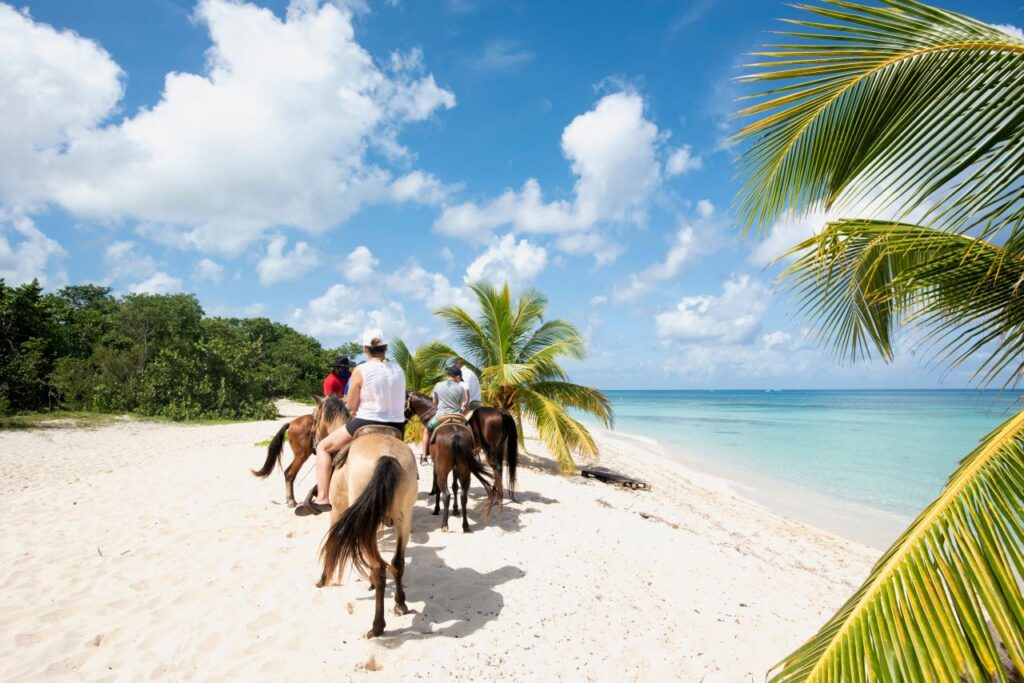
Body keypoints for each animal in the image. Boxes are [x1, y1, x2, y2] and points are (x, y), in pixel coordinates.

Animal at [309, 395, 417, 643]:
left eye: (315, 416)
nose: (315, 444)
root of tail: (387, 456)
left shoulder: (337, 512)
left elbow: (331, 545)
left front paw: (324, 577)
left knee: (379, 567)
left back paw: (377, 626)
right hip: (403, 520)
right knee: (397, 563)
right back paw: (400, 603)